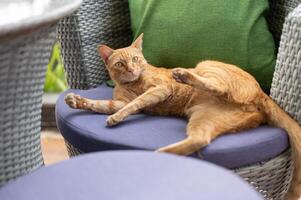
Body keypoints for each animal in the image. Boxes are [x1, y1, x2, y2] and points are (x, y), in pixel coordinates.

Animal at [65, 34, 300, 200]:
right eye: (120, 64)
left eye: (135, 59)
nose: (131, 68)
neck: (133, 83)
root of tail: (261, 92)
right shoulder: (119, 102)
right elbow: (103, 105)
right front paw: (77, 101)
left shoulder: (160, 89)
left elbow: (135, 103)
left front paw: (116, 116)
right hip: (205, 118)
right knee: (199, 139)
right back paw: (158, 155)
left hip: (206, 66)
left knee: (218, 87)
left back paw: (183, 75)